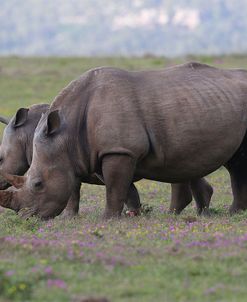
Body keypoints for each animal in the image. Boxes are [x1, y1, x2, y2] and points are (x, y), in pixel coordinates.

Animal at [0, 63, 236, 219]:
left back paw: (182, 214)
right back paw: (198, 213)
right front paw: (134, 213)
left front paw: (70, 218)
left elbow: (75, 189)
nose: (24, 217)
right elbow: (123, 187)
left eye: (0, 158)